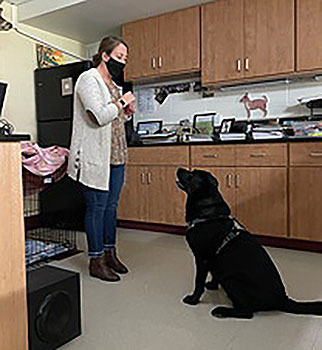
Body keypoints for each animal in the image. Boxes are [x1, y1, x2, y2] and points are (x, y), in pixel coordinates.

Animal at [177, 168, 322, 318]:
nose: (179, 168)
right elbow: (215, 275)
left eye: (192, 174)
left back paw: (221, 311)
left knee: (247, 312)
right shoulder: (213, 261)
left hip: (232, 280)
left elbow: (198, 282)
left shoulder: (202, 259)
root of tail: (282, 299)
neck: (208, 215)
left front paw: (193, 300)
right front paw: (212, 285)